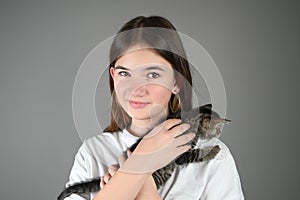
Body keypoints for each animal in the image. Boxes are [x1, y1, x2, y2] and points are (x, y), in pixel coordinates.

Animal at [56, 104, 230, 199]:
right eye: (217, 130)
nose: (219, 134)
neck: (190, 119)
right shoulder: (181, 152)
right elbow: (196, 154)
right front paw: (214, 150)